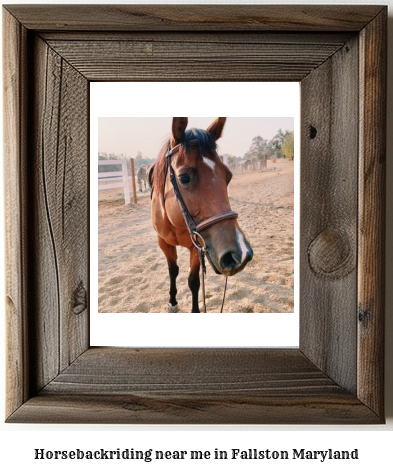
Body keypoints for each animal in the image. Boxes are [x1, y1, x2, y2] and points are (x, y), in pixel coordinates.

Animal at [149, 117, 253, 312]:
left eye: (228, 175)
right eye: (184, 178)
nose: (241, 253)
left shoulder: (197, 246)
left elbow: (194, 281)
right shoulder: (164, 243)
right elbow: (173, 271)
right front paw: (172, 301)